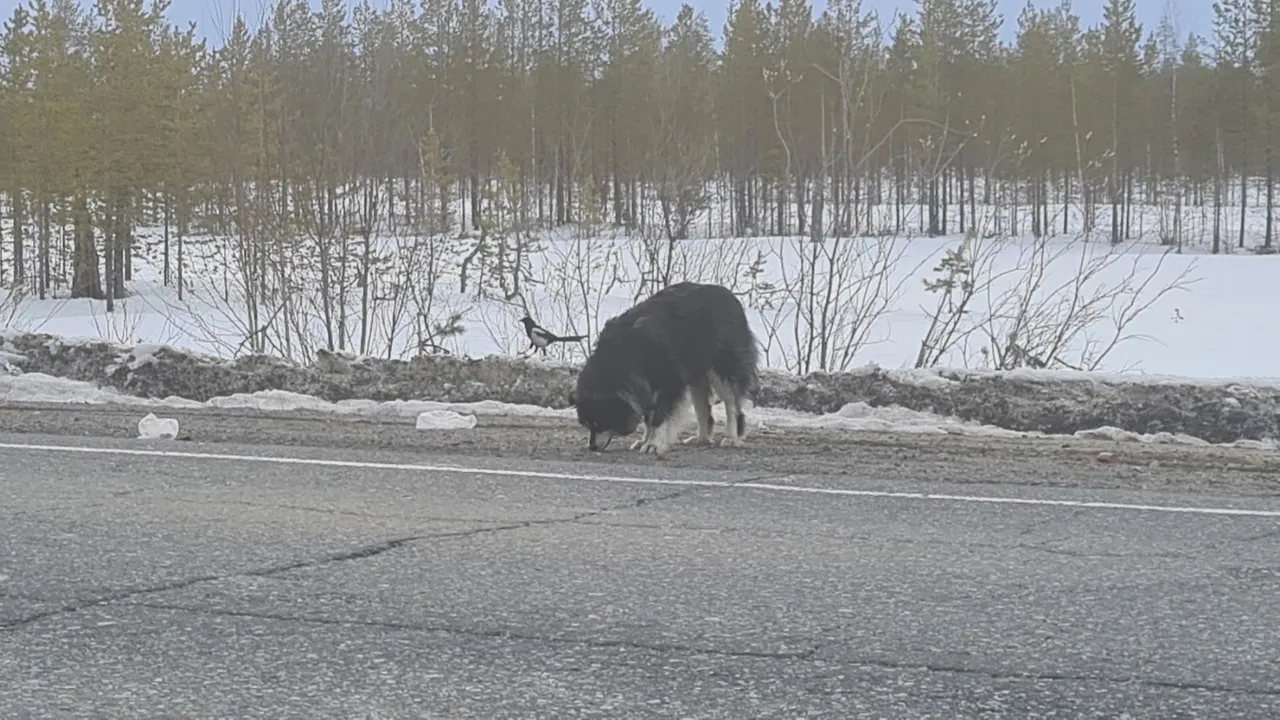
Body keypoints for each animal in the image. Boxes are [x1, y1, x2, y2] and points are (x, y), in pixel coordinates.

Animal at [570, 280, 757, 453]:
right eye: (586, 424)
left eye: (600, 423)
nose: (592, 446)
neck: (625, 354)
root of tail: (733, 298)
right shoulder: (644, 385)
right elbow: (648, 418)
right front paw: (644, 441)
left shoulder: (670, 382)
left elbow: (658, 417)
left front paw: (653, 444)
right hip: (696, 373)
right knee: (704, 407)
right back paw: (701, 439)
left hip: (723, 367)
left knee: (732, 404)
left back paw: (732, 437)